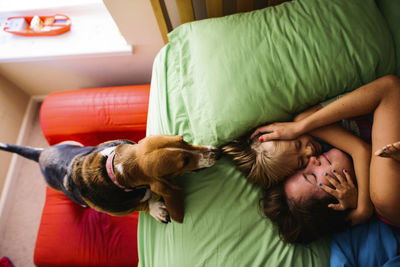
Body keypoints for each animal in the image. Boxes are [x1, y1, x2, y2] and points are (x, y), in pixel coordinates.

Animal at [0, 136, 219, 224]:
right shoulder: (120, 209)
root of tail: (41, 154)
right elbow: (141, 205)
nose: (216, 152)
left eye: (183, 139)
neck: (114, 168)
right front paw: (156, 209)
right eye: (184, 162)